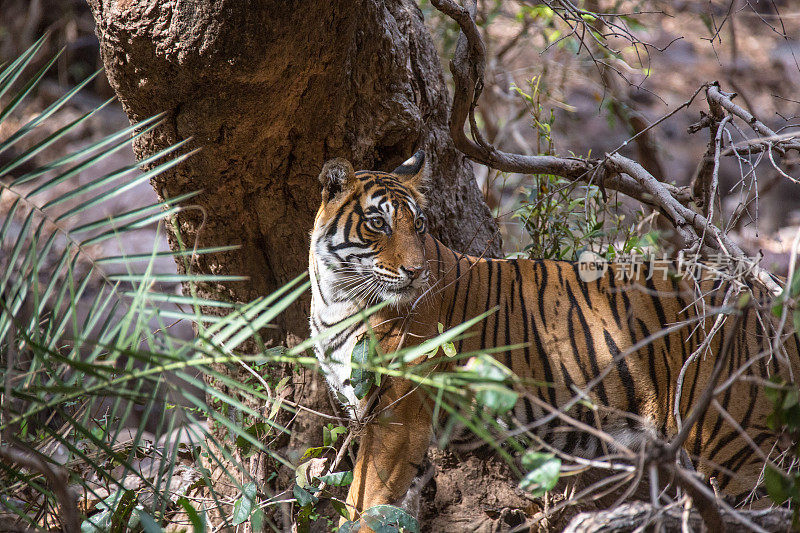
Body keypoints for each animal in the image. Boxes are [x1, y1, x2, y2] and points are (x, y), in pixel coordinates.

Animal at [308, 150, 800, 524]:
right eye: (379, 224)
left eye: (420, 226)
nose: (414, 272)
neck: (335, 295)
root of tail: (771, 301)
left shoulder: (397, 419)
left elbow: (364, 500)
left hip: (734, 453)